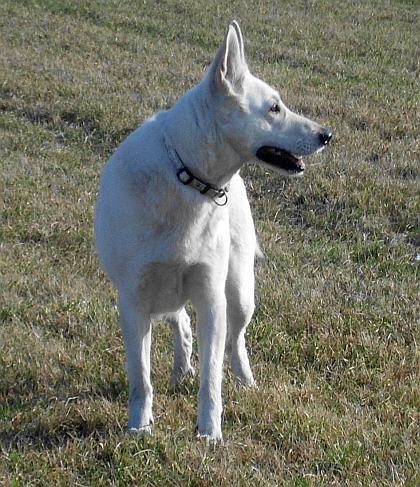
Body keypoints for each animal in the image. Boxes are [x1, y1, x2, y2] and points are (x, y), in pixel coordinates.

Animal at [95, 21, 332, 442]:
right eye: (274, 108)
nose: (327, 135)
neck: (186, 174)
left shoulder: (211, 298)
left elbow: (211, 377)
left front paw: (209, 432)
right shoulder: (133, 301)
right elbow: (140, 377)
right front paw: (139, 427)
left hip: (238, 293)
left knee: (236, 341)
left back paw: (244, 379)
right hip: (165, 296)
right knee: (180, 323)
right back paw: (179, 369)